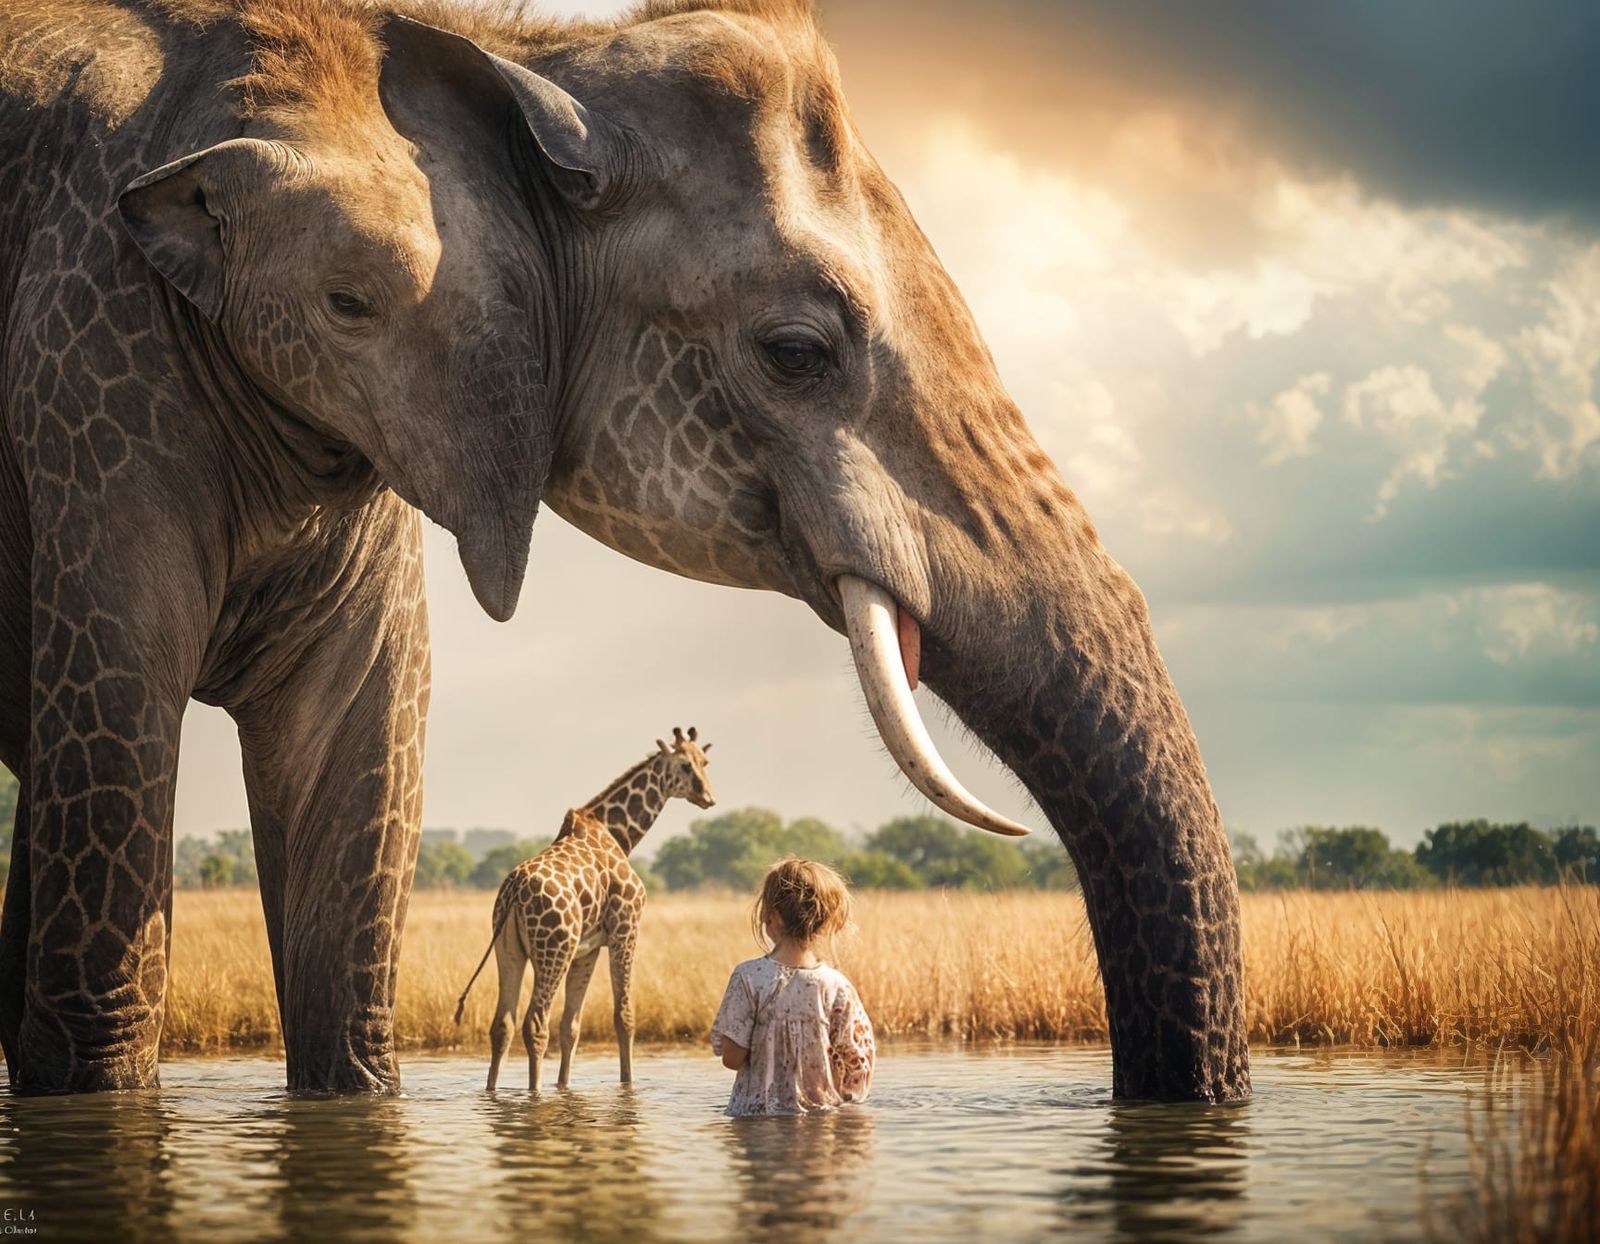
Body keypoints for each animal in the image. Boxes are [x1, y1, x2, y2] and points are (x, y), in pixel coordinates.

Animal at [455, 728, 714, 1092]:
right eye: (685, 765)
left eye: (704, 762)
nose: (708, 797)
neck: (619, 835)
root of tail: (515, 892)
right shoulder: (626, 928)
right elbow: (624, 1016)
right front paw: (627, 1086)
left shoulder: (587, 949)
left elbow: (571, 1026)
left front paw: (564, 1087)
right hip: (554, 950)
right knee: (535, 1024)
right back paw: (533, 1092)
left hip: (507, 949)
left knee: (503, 1024)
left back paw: (493, 1091)